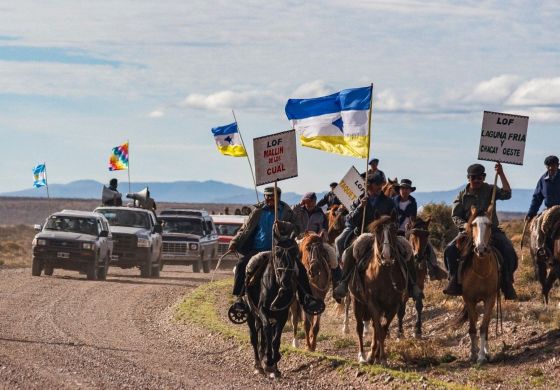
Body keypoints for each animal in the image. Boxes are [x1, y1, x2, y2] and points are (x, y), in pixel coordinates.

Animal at [244, 236, 300, 376]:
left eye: (294, 252)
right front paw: (268, 360)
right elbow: (268, 332)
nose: (286, 280)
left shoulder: (283, 314)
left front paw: (275, 363)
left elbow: (276, 338)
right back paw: (258, 365)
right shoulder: (262, 310)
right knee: (255, 337)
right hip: (251, 314)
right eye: (277, 254)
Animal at [350, 212, 406, 364]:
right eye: (378, 231)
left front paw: (379, 356)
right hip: (357, 302)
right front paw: (378, 356)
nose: (386, 256)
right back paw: (362, 355)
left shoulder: (393, 306)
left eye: (394, 229)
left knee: (376, 327)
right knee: (359, 327)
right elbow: (379, 330)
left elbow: (383, 329)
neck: (384, 274)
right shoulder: (373, 304)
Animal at [458, 206, 500, 364]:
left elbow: (483, 328)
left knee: (485, 326)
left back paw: (486, 352)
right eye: (473, 224)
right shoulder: (469, 299)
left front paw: (482, 356)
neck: (481, 270)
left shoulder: (490, 299)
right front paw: (473, 353)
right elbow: (472, 328)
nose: (481, 249)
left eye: (489, 225)